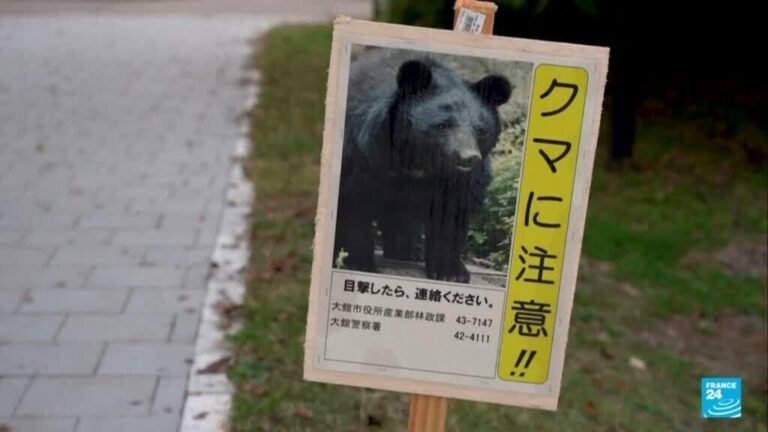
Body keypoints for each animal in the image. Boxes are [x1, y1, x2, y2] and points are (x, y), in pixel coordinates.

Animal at [333, 48, 512, 283]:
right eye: (442, 125)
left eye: (480, 130)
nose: (468, 158)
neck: (421, 163)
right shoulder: (364, 153)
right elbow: (354, 203)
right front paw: (359, 263)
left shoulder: (462, 180)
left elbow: (451, 214)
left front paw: (451, 272)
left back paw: (407, 250)